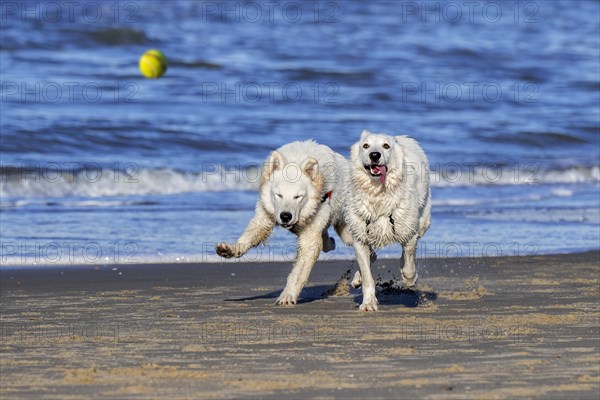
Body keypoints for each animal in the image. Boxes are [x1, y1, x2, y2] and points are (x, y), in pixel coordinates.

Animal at [342, 130, 432, 310]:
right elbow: (367, 275)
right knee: (371, 256)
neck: (378, 192)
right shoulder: (360, 236)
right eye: (366, 146)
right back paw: (358, 277)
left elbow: (409, 260)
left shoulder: (408, 230)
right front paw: (368, 303)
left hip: (422, 221)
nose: (374, 155)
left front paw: (409, 278)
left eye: (386, 146)